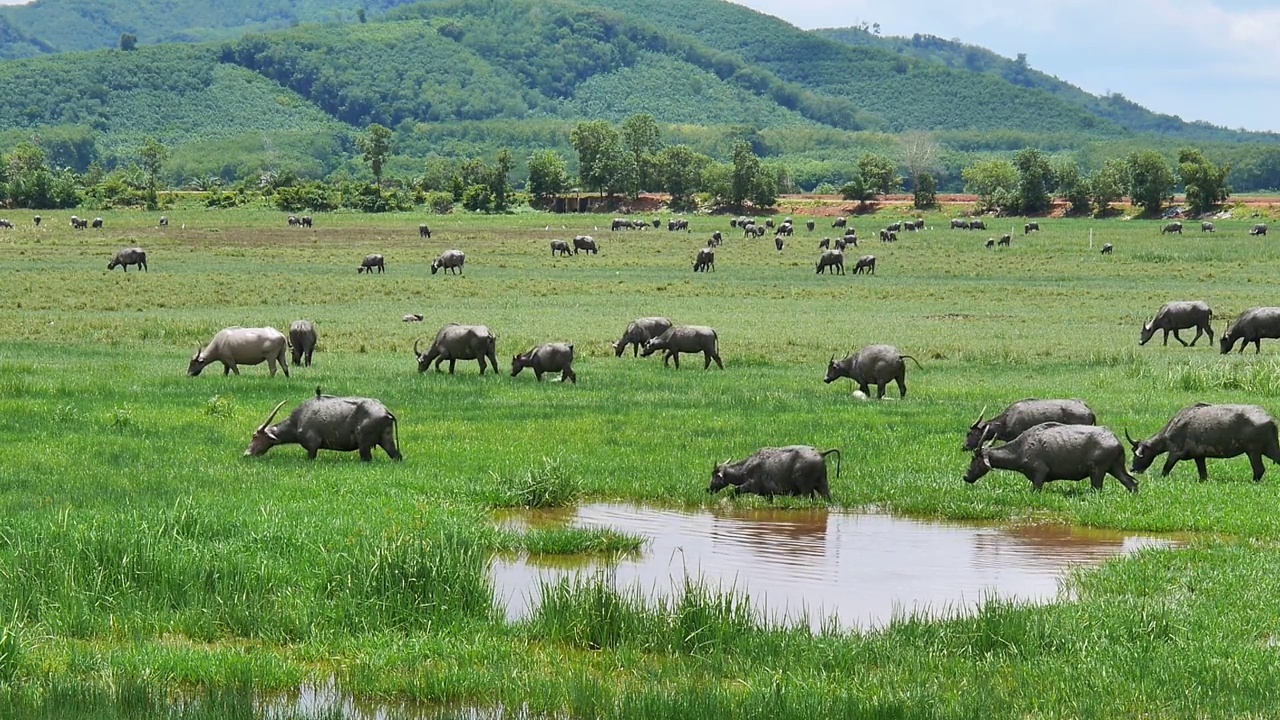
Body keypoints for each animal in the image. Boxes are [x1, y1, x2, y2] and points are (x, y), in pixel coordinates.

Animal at [241, 386, 396, 458]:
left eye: (255, 436)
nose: (247, 454)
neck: (297, 420)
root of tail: (385, 411)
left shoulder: (312, 447)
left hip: (364, 446)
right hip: (387, 440)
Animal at [706, 443, 844, 499]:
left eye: (714, 475)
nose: (708, 489)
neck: (746, 468)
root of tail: (820, 453)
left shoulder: (749, 486)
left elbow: (734, 491)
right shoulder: (768, 494)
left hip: (806, 489)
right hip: (822, 485)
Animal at [962, 422, 1136, 489]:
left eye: (974, 459)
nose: (966, 476)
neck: (1019, 452)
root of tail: (1117, 442)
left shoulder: (1040, 474)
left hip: (1098, 471)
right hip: (1115, 468)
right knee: (1132, 483)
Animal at [1126, 399, 1280, 479]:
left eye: (1137, 455)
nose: (1132, 469)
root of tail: (1270, 419)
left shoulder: (1175, 453)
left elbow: (1165, 469)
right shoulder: (1199, 456)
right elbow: (1203, 475)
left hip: (1253, 451)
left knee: (1259, 469)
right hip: (1269, 449)